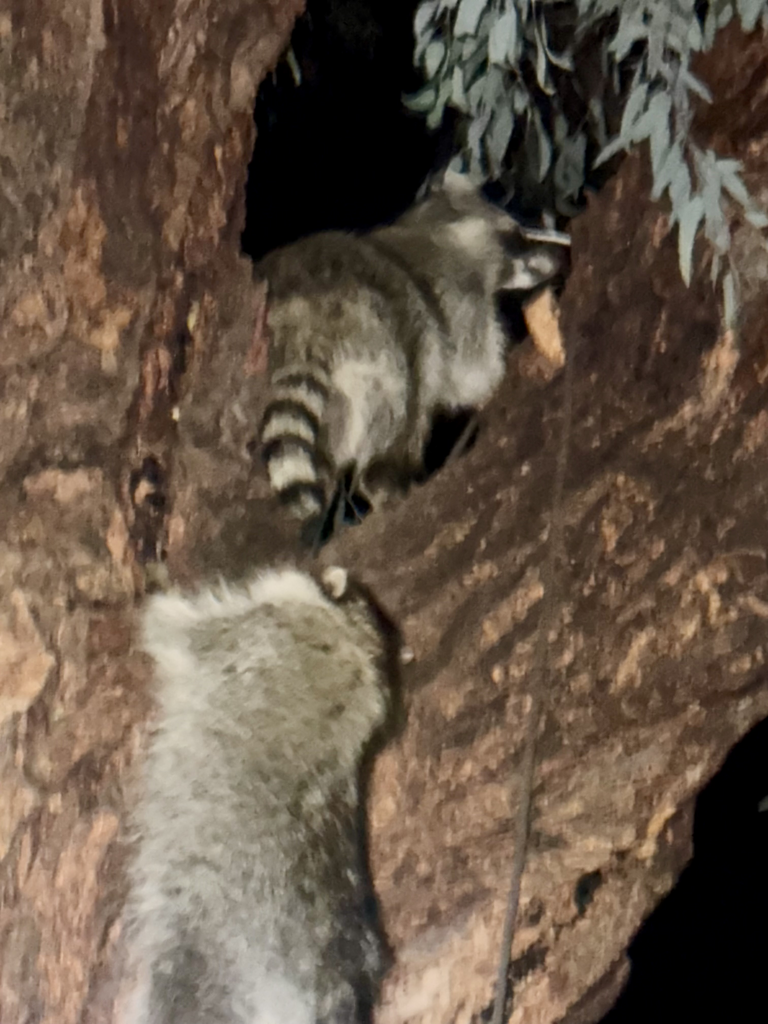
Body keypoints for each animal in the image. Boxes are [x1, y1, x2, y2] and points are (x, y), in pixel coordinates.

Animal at [257, 171, 568, 540]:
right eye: (517, 235)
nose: (557, 257)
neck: (433, 227)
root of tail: (301, 307)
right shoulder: (460, 295)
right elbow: (473, 374)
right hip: (381, 331)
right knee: (408, 399)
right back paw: (386, 473)